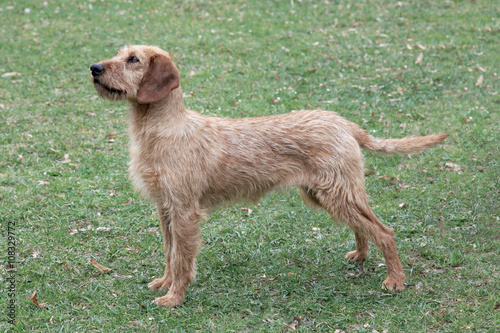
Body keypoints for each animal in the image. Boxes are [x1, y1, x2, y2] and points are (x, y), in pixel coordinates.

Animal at [90, 45, 450, 308]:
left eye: (133, 59)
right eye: (120, 54)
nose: (94, 68)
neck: (160, 130)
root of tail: (343, 122)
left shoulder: (185, 211)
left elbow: (182, 258)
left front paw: (174, 297)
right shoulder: (165, 208)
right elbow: (169, 252)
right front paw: (164, 283)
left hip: (338, 193)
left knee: (384, 231)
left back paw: (395, 280)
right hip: (329, 195)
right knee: (365, 226)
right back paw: (361, 255)